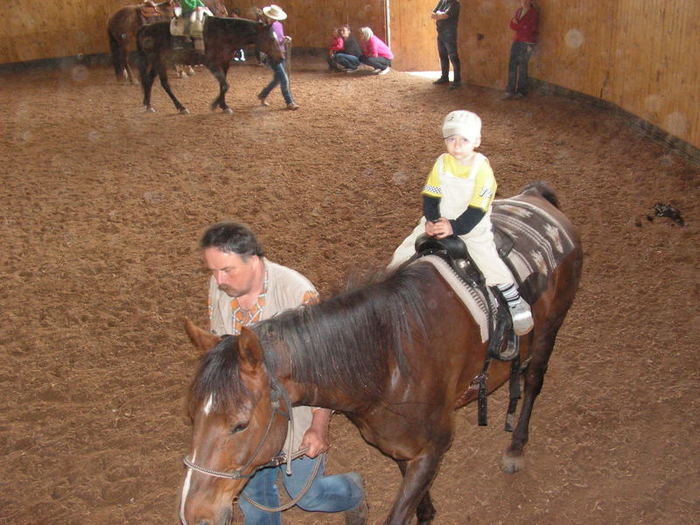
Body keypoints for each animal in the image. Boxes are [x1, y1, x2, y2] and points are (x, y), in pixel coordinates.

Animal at [136, 17, 284, 114]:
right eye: (272, 39)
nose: (281, 58)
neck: (223, 34)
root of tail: (146, 28)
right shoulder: (211, 63)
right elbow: (225, 85)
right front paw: (214, 105)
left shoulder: (224, 63)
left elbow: (223, 85)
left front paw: (224, 106)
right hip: (160, 62)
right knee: (164, 84)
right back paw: (181, 107)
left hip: (156, 63)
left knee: (149, 80)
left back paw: (148, 105)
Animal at [178, 182, 583, 525]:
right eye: (194, 417)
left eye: (240, 424)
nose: (195, 513)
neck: (388, 359)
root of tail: (537, 198)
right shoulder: (404, 449)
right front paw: (427, 512)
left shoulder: (433, 448)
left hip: (549, 330)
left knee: (533, 382)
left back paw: (516, 447)